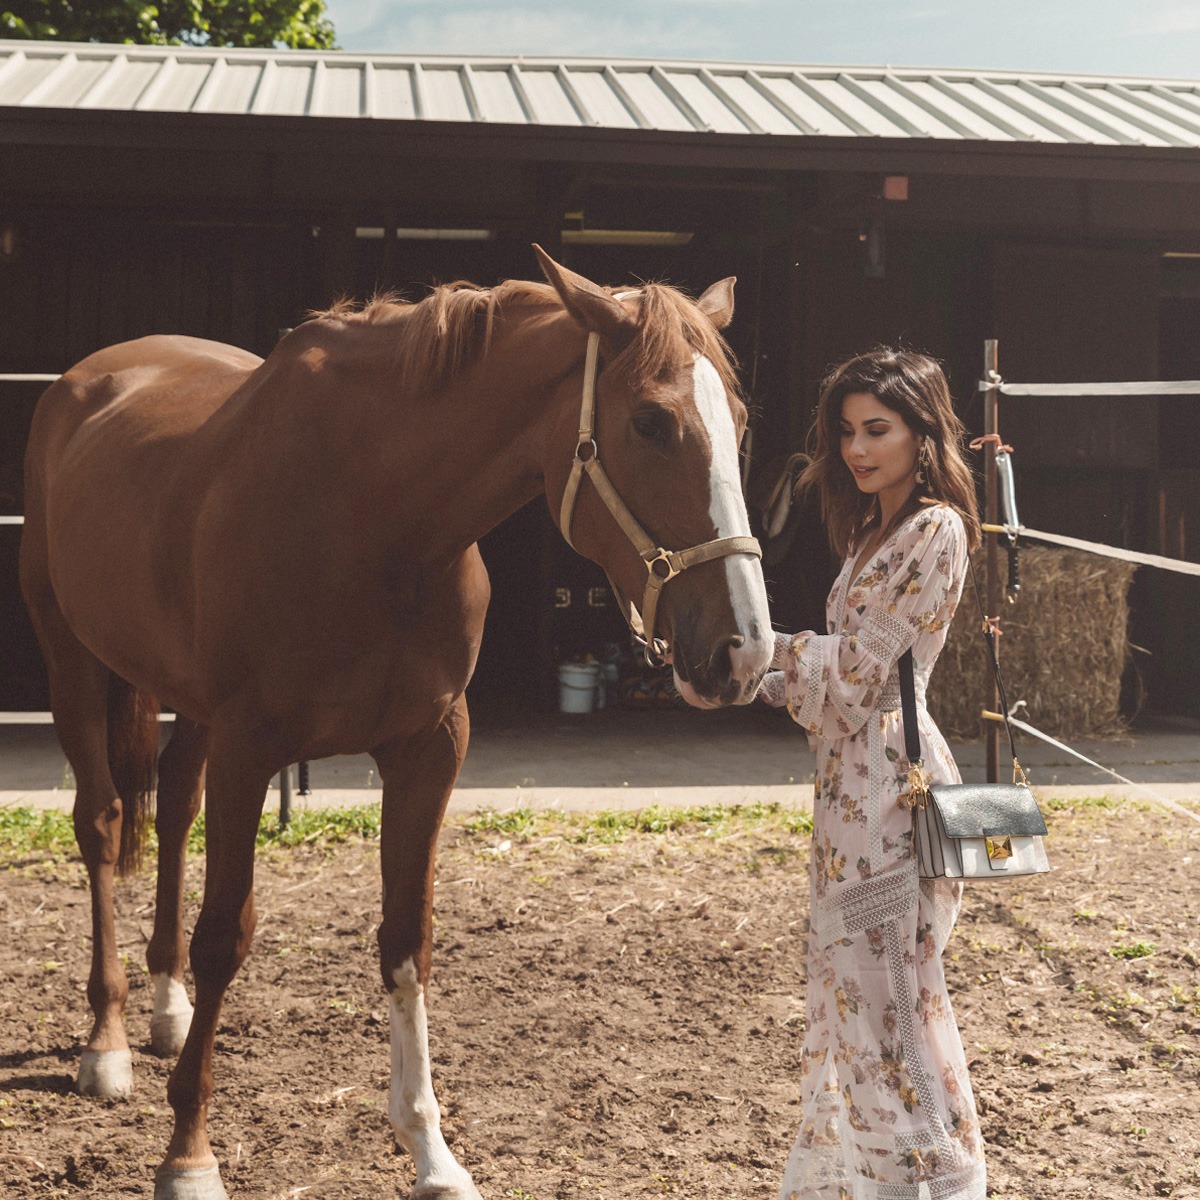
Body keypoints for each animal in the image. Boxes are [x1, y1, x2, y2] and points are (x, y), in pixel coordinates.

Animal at [21, 248, 768, 1195]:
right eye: (649, 422)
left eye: (737, 422)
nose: (742, 651)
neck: (375, 517)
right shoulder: (251, 747)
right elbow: (226, 934)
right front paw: (188, 1153)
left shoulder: (428, 745)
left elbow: (407, 936)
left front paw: (432, 1153)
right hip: (70, 658)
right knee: (104, 823)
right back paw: (108, 1042)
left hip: (187, 703)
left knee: (175, 808)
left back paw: (166, 1007)